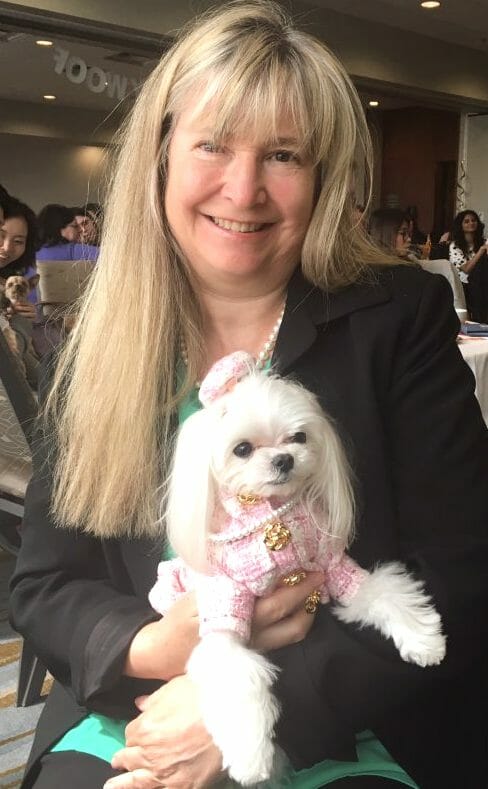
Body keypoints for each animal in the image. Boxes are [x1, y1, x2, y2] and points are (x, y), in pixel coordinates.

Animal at [150, 354, 446, 784]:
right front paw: (250, 757)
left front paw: (424, 641)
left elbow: (383, 591)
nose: (284, 459)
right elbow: (235, 675)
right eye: (242, 449)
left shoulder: (333, 566)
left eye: (299, 437)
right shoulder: (224, 604)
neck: (274, 517)